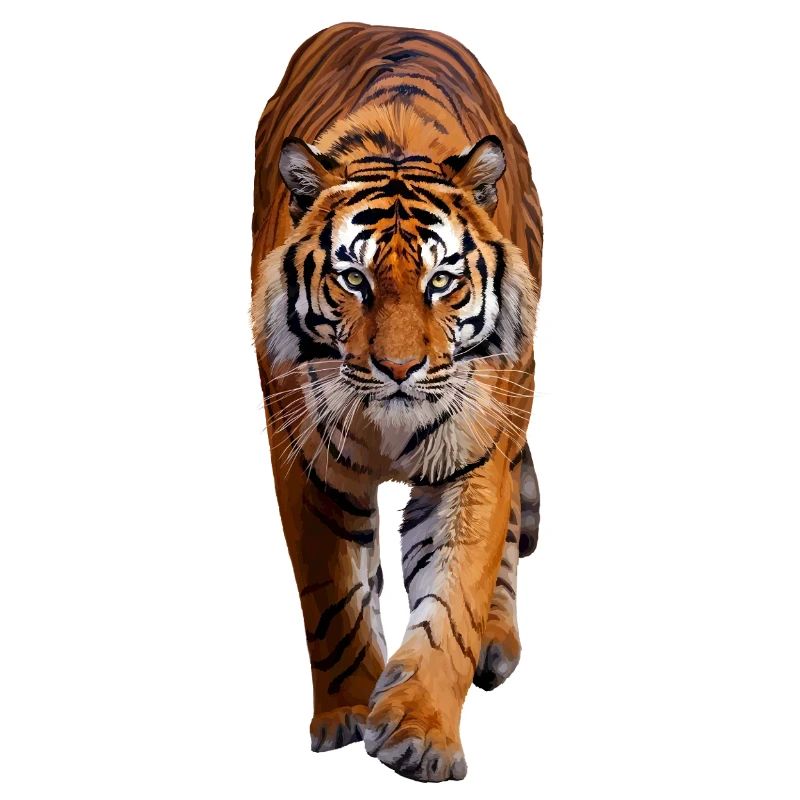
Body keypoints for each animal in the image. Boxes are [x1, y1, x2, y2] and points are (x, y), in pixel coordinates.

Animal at [251, 22, 542, 782]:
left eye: (442, 280)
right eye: (353, 279)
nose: (400, 369)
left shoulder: (474, 456)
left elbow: (454, 595)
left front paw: (420, 736)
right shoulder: (306, 461)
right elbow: (333, 599)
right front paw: (350, 711)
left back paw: (497, 644)